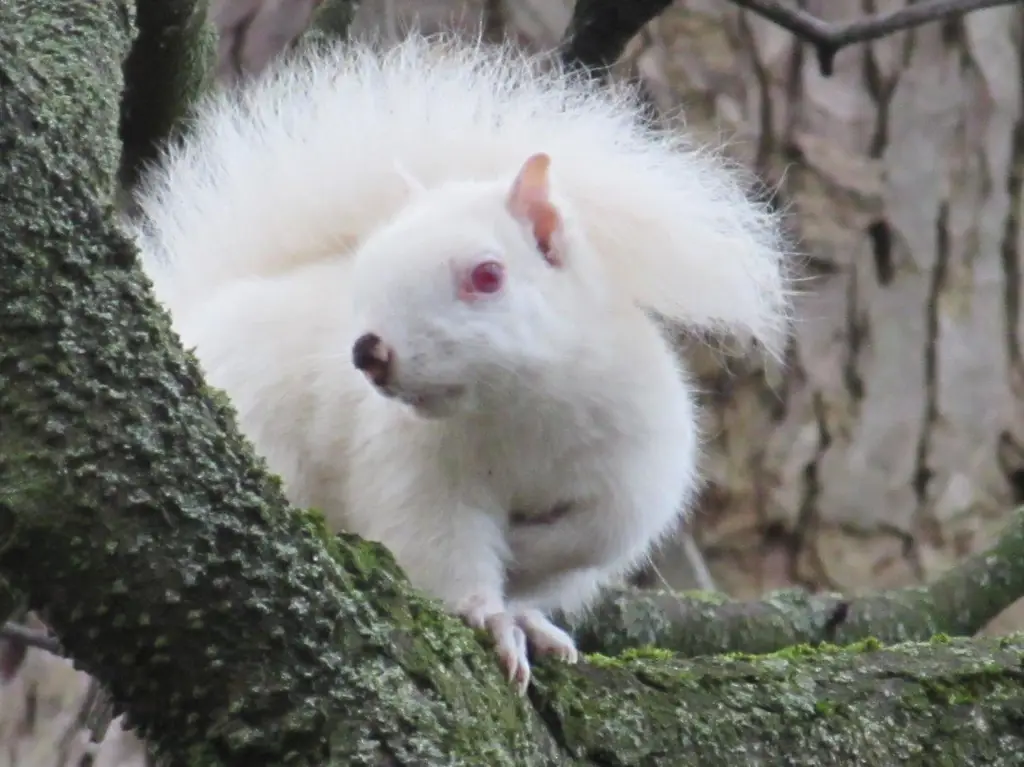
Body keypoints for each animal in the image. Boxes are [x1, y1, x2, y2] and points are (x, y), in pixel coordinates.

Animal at [132, 33, 790, 692]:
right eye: (365, 270)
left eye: (488, 275)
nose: (369, 352)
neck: (515, 410)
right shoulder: (415, 479)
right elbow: (445, 554)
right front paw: (495, 618)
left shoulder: (636, 464)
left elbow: (595, 535)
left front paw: (527, 572)